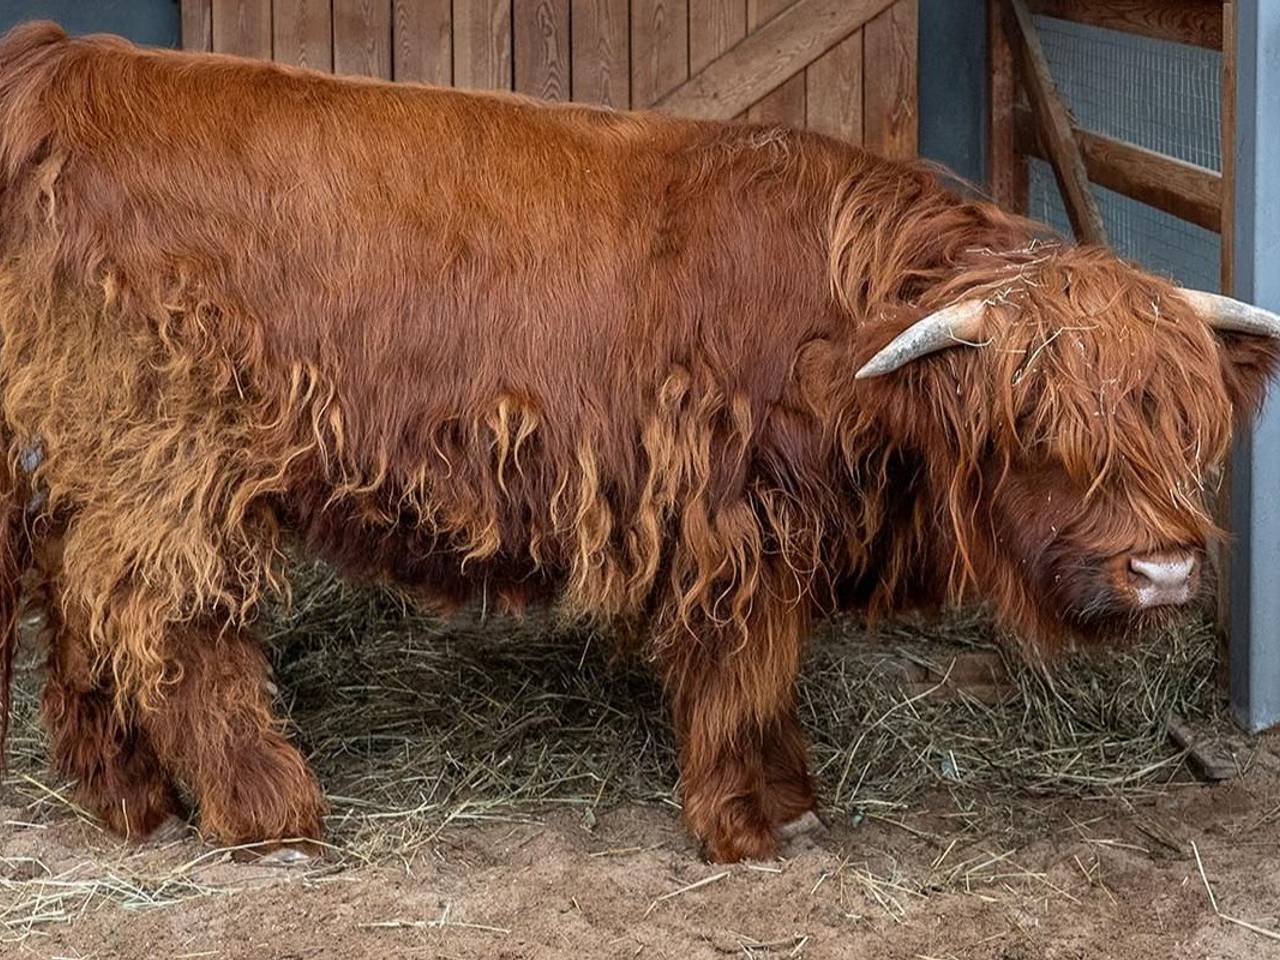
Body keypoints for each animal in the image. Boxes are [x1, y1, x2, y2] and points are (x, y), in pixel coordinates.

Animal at [0, 21, 1276, 864]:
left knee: (79, 600)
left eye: (1182, 426)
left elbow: (766, 676)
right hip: (173, 459)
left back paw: (124, 794)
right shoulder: (730, 520)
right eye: (1035, 427)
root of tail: (80, 58)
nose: (1165, 569)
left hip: (93, 455)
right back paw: (268, 812)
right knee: (163, 618)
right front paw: (749, 820)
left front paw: (789, 790)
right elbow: (742, 670)